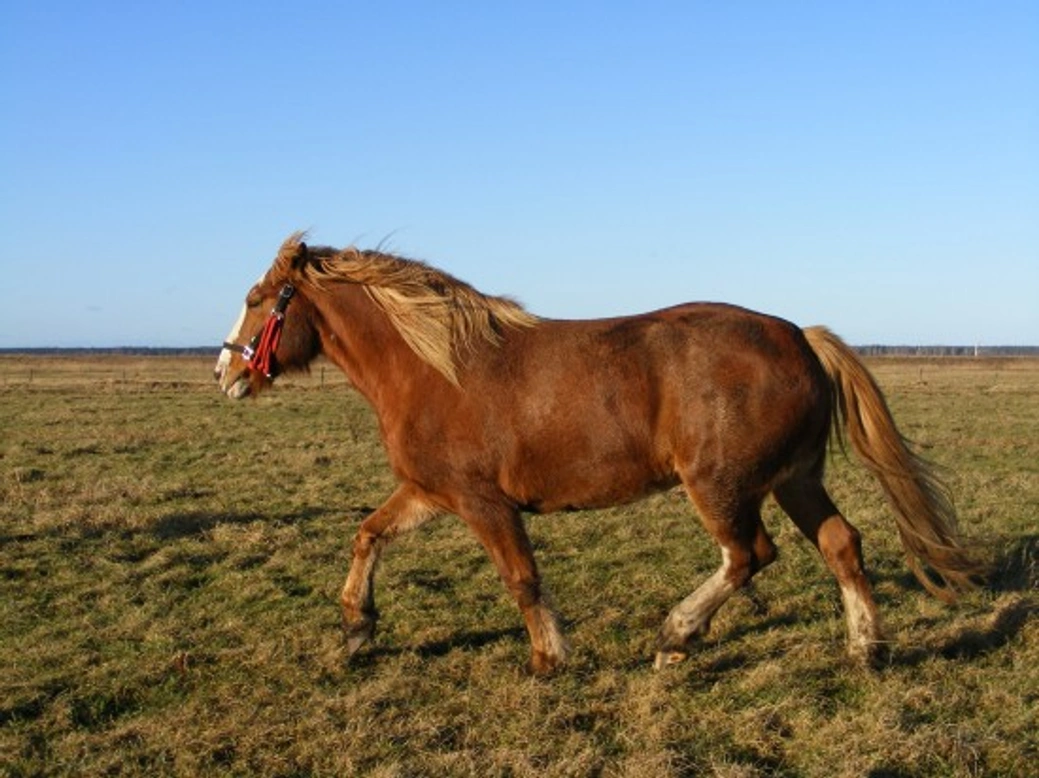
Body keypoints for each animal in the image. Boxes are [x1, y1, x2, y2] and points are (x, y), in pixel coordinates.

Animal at [214, 233, 980, 674]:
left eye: (256, 299)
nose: (225, 373)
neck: (437, 367)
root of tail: (797, 335)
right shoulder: (431, 493)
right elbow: (367, 535)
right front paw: (356, 629)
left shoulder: (482, 502)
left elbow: (521, 578)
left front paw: (549, 659)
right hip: (795, 478)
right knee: (841, 544)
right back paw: (865, 649)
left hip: (721, 485)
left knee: (749, 556)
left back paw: (676, 635)